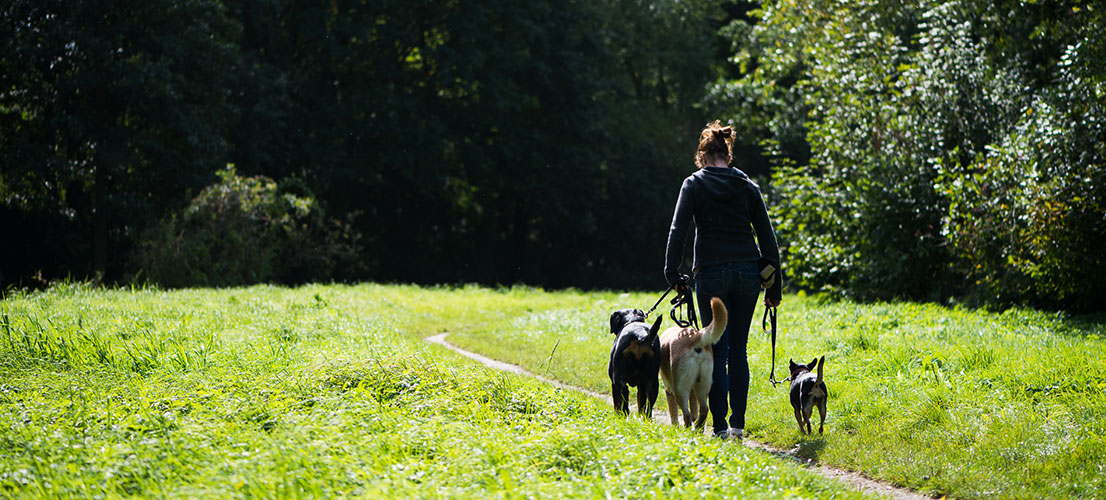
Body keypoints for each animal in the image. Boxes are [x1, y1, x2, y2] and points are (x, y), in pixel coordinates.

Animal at [659, 296, 729, 429]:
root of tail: (696, 337)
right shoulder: (693, 392)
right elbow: (694, 411)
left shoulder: (669, 390)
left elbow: (674, 413)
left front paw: (675, 427)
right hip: (703, 386)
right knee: (704, 410)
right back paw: (698, 428)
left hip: (680, 389)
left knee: (686, 414)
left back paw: (687, 430)